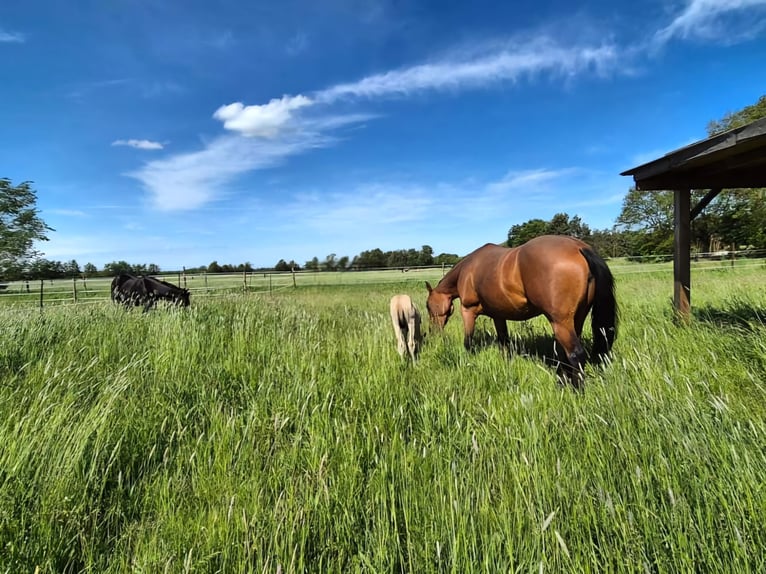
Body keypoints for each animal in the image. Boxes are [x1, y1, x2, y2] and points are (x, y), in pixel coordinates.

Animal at [426, 236, 616, 390]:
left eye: (428, 306)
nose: (432, 332)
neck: (468, 270)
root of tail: (579, 247)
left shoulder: (468, 311)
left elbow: (468, 341)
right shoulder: (499, 316)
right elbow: (504, 343)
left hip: (560, 322)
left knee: (576, 354)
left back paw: (576, 390)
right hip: (576, 320)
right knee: (565, 353)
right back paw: (563, 381)